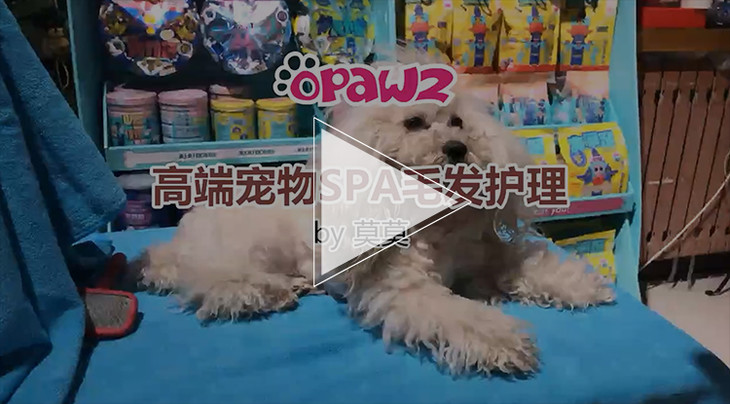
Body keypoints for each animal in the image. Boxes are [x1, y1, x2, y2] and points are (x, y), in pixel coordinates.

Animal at [138, 53, 615, 376]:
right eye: (415, 124)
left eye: (458, 123)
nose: (457, 149)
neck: (432, 219)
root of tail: (180, 234)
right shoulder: (406, 290)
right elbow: (460, 314)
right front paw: (505, 340)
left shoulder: (487, 256)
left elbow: (530, 263)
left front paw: (581, 284)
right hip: (244, 248)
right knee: (214, 280)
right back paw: (268, 290)